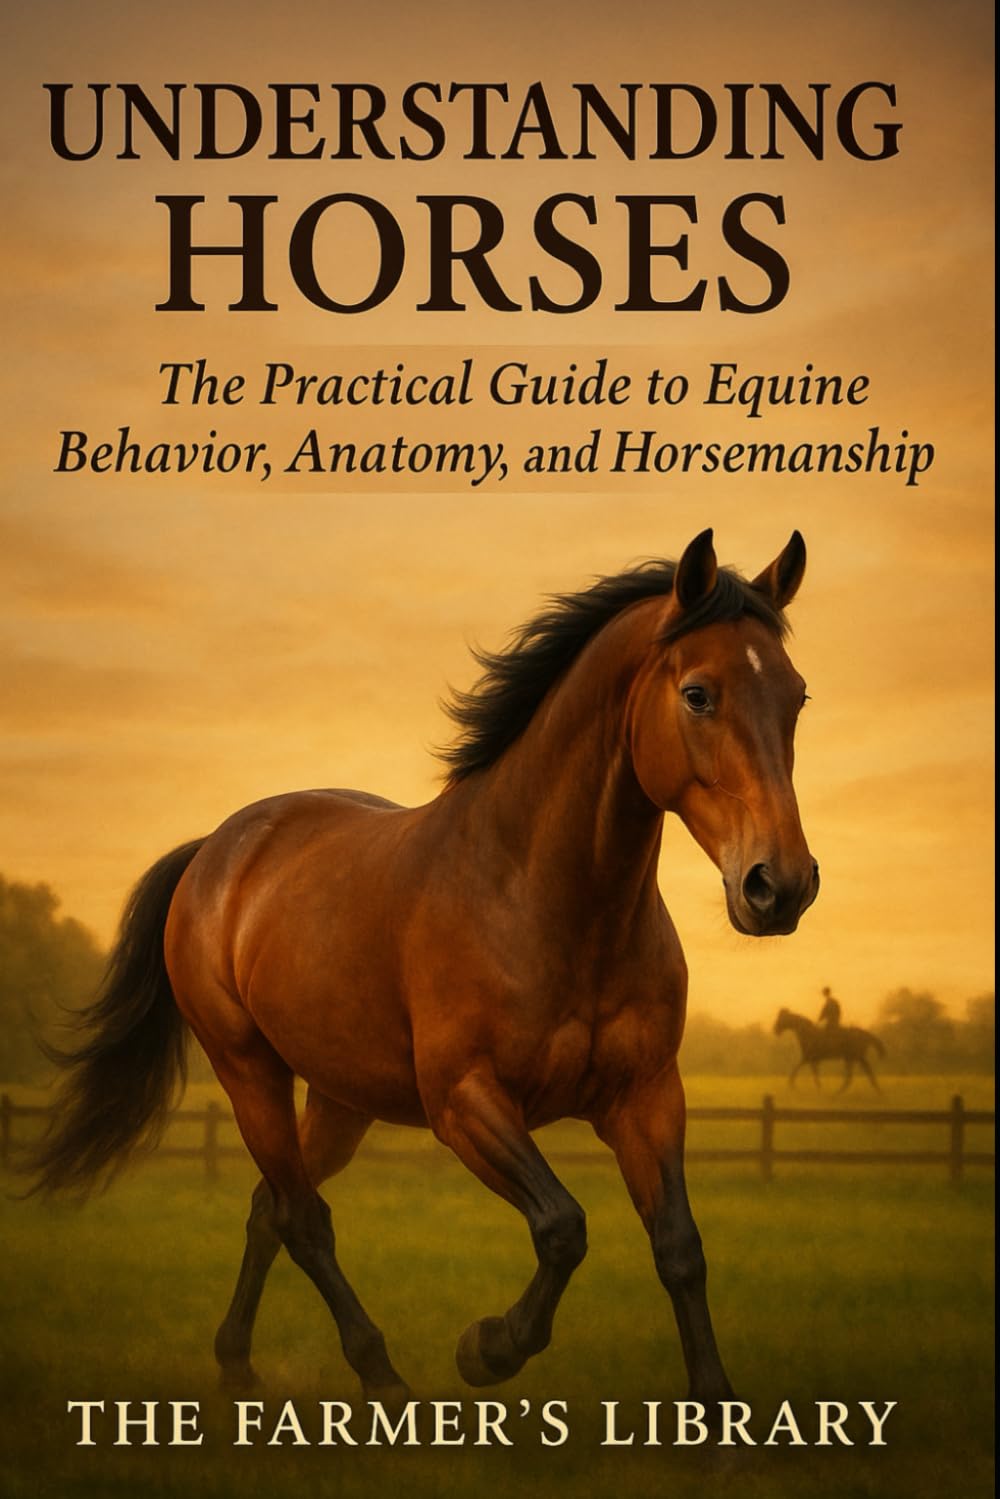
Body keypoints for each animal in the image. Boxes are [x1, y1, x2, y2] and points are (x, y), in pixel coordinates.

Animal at [29, 529, 819, 1410]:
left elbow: (679, 1246)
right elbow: (563, 1226)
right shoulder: (465, 1100)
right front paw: (487, 1347)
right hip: (249, 1072)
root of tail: (217, 848)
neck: (538, 895)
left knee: (272, 1207)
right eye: (698, 694)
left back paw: (238, 1363)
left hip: (340, 1097)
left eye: (797, 696)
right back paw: (382, 1375)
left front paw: (717, 1412)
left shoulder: (646, 1096)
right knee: (303, 1218)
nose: (780, 884)